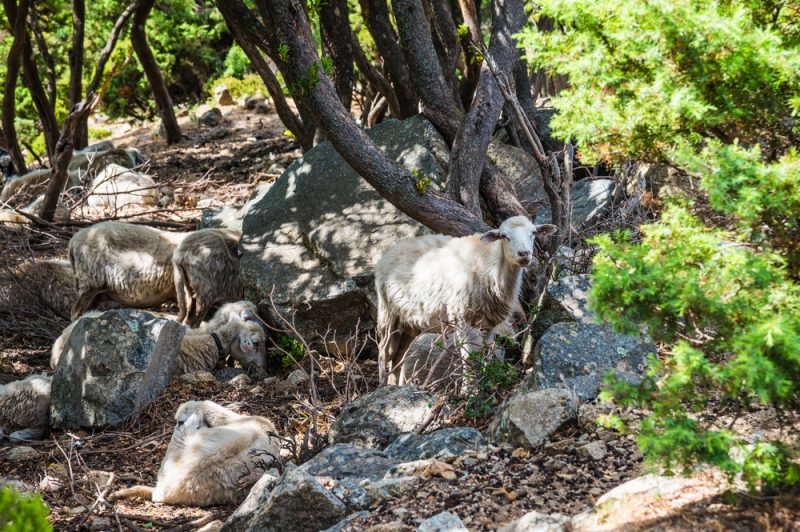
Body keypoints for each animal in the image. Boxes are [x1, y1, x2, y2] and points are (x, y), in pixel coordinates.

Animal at [374, 216, 556, 384]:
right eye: (504, 236)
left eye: (533, 233)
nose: (524, 254)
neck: (491, 265)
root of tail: (390, 251)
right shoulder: (461, 318)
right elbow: (468, 358)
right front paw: (468, 390)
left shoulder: (490, 321)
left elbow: (487, 353)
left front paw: (486, 381)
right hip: (387, 311)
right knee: (383, 351)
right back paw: (382, 383)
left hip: (410, 322)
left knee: (399, 355)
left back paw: (395, 385)